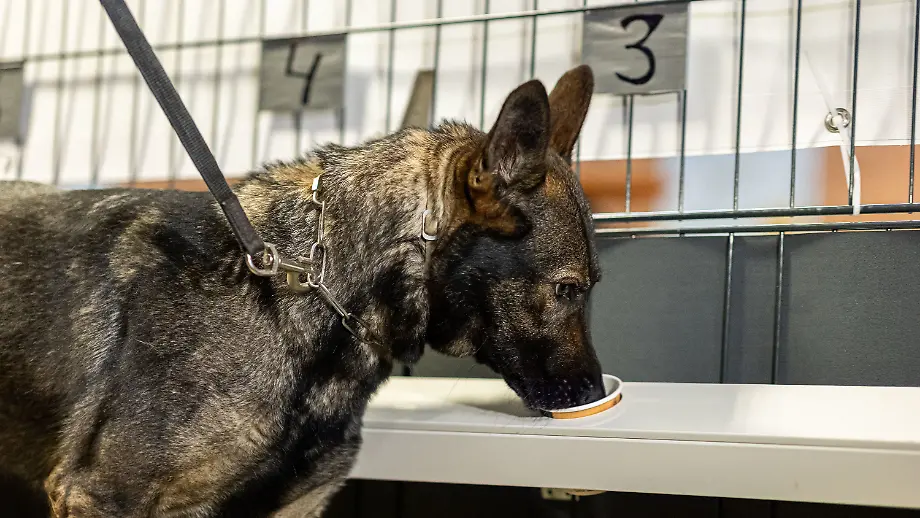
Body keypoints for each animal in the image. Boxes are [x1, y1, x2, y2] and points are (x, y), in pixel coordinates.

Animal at [0, 64, 603, 517]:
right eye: (568, 289)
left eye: (589, 287)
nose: (595, 393)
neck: (318, 288)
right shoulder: (102, 494)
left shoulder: (298, 504)